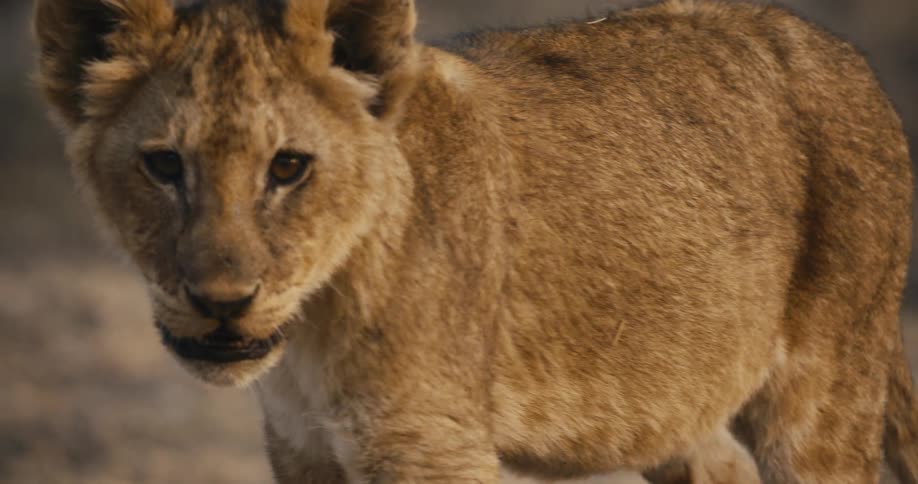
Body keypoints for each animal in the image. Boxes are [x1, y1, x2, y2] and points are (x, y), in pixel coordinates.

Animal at [34, 0, 917, 482]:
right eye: (163, 165)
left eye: (288, 166)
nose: (222, 305)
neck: (316, 324)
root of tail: (843, 53)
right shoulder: (303, 450)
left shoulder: (432, 448)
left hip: (828, 392)